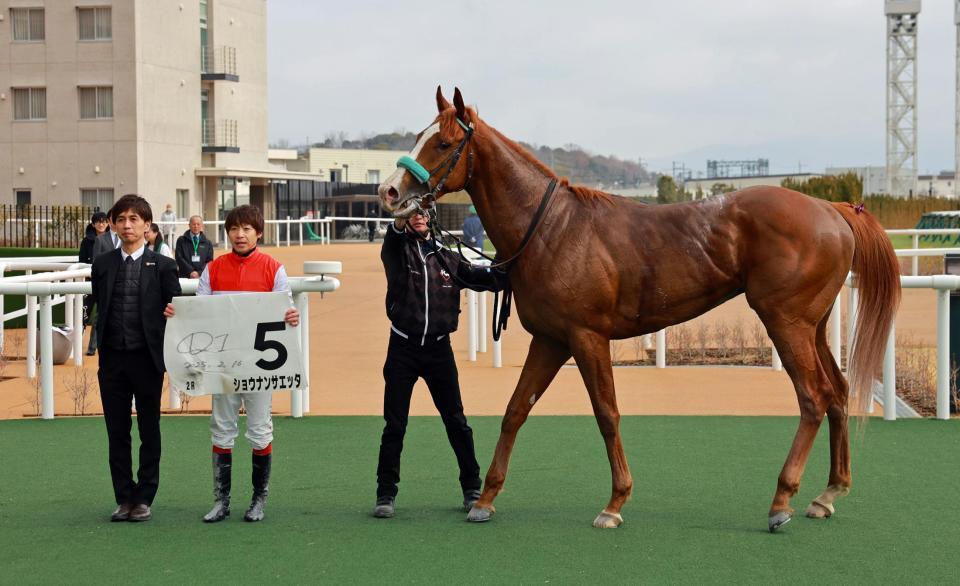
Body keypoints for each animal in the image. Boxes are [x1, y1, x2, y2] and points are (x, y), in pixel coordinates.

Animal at [377, 87, 901, 531]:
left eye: (443, 142)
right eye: (419, 136)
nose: (389, 192)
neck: (551, 229)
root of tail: (833, 209)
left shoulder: (587, 337)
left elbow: (607, 413)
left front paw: (614, 503)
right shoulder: (550, 339)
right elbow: (515, 410)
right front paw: (485, 499)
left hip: (785, 323)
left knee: (813, 397)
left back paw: (781, 501)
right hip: (812, 325)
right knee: (837, 392)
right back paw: (827, 494)